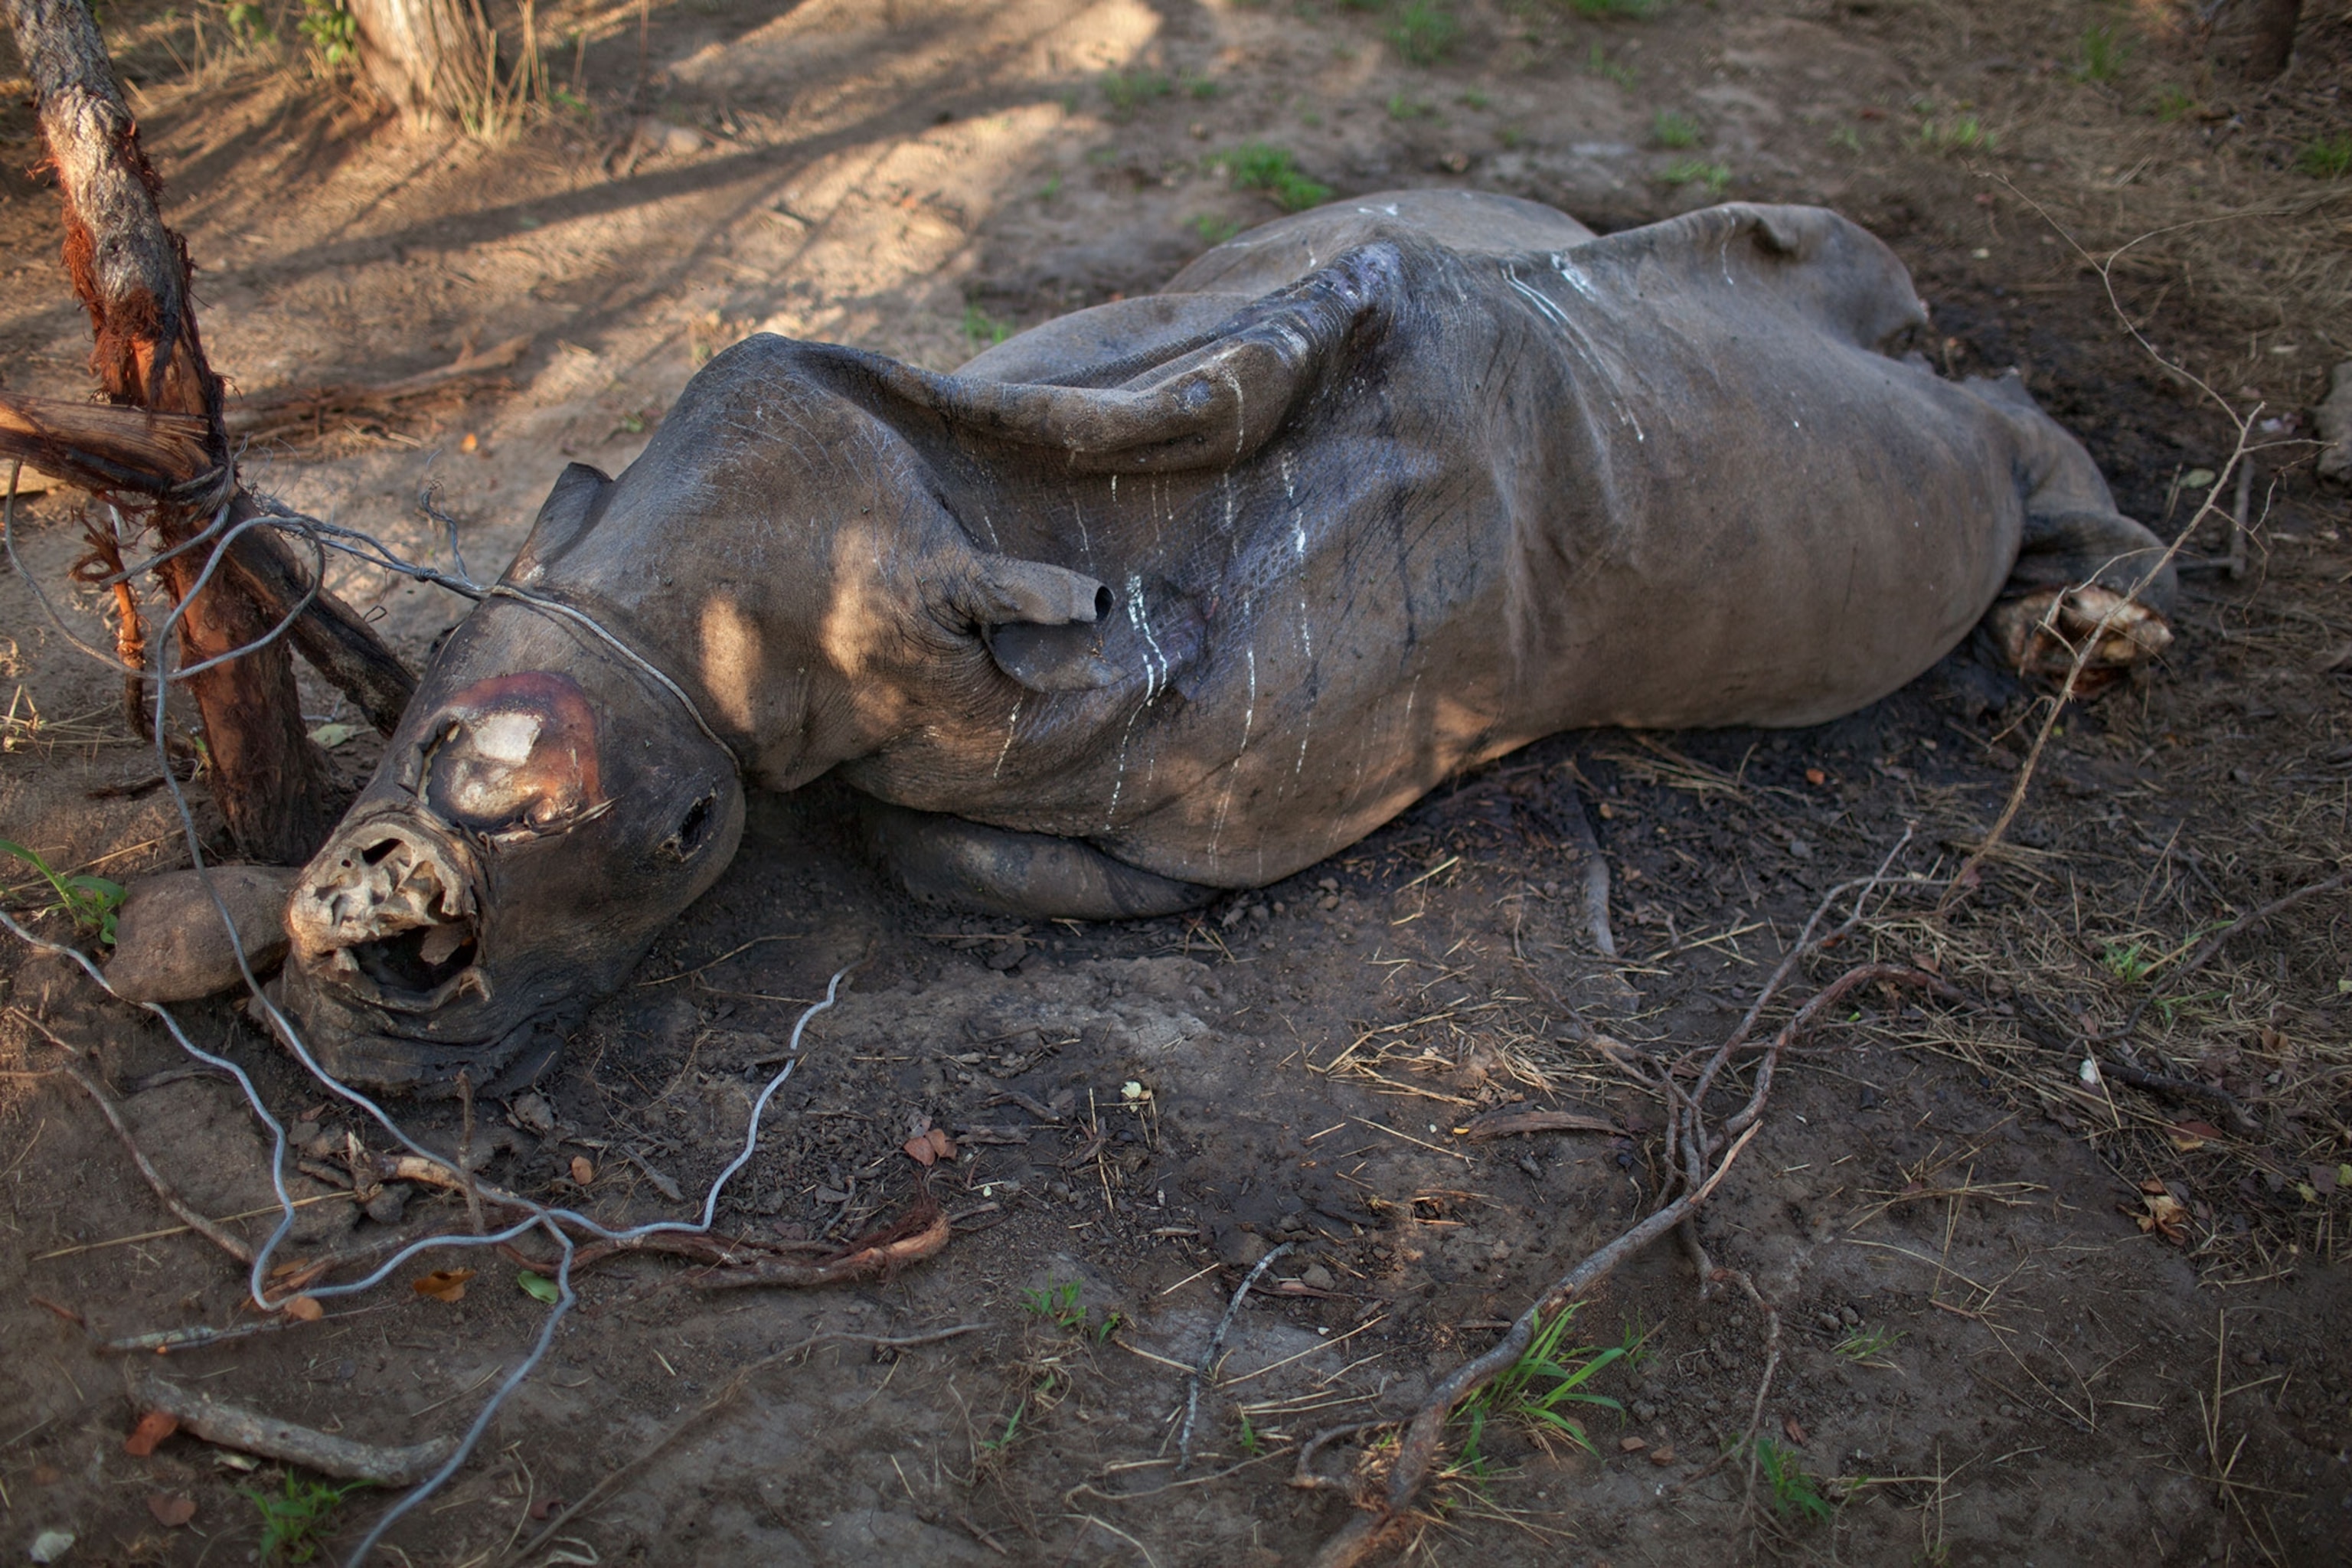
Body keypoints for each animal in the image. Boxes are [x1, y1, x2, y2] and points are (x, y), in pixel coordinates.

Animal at [280, 191, 2173, 1090]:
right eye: (427, 711)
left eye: (688, 837)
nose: (380, 969)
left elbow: (926, 844)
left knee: (1992, 423)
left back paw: (2097, 624)